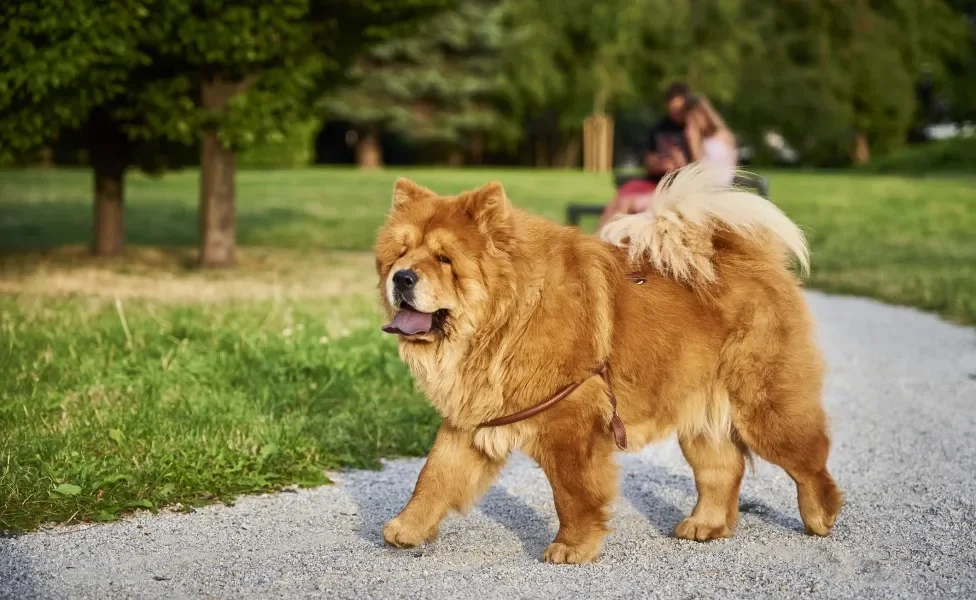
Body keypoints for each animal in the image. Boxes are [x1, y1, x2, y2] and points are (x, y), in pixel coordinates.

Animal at [374, 163, 848, 564]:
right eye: (400, 254)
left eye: (444, 259)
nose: (402, 277)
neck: (506, 318)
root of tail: (749, 259)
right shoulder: (471, 418)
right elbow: (434, 476)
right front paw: (406, 529)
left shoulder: (570, 420)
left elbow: (572, 493)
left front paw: (572, 548)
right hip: (699, 415)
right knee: (722, 469)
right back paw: (705, 525)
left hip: (766, 408)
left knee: (810, 460)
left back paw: (821, 517)